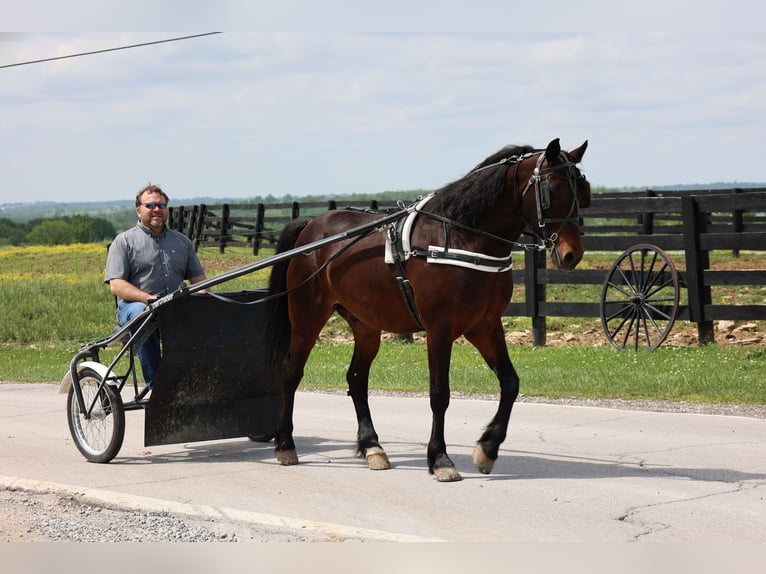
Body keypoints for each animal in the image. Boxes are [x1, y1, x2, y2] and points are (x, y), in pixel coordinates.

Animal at [268, 138, 592, 482]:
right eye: (551, 190)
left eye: (581, 189)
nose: (571, 254)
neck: (463, 239)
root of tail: (311, 225)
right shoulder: (440, 329)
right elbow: (440, 394)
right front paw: (440, 459)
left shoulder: (485, 326)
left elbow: (510, 383)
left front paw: (487, 449)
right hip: (306, 318)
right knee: (290, 373)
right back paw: (286, 444)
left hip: (365, 323)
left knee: (356, 378)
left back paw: (372, 447)